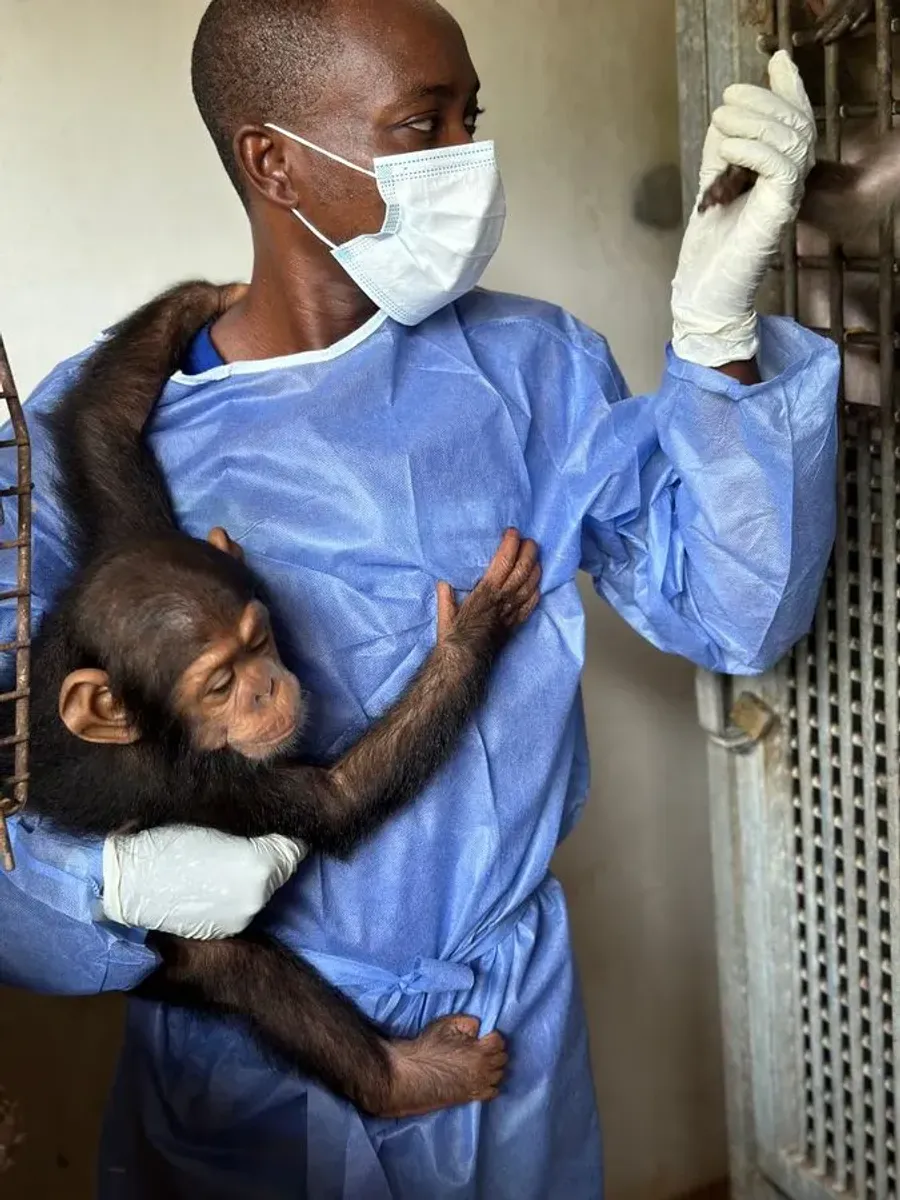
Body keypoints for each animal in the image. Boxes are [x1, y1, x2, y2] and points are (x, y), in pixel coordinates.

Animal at [9, 281, 543, 1118]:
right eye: (221, 684)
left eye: (258, 642)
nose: (264, 686)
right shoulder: (201, 780)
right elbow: (336, 799)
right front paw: (475, 629)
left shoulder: (128, 539)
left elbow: (103, 437)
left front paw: (198, 300)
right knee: (229, 968)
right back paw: (404, 1077)